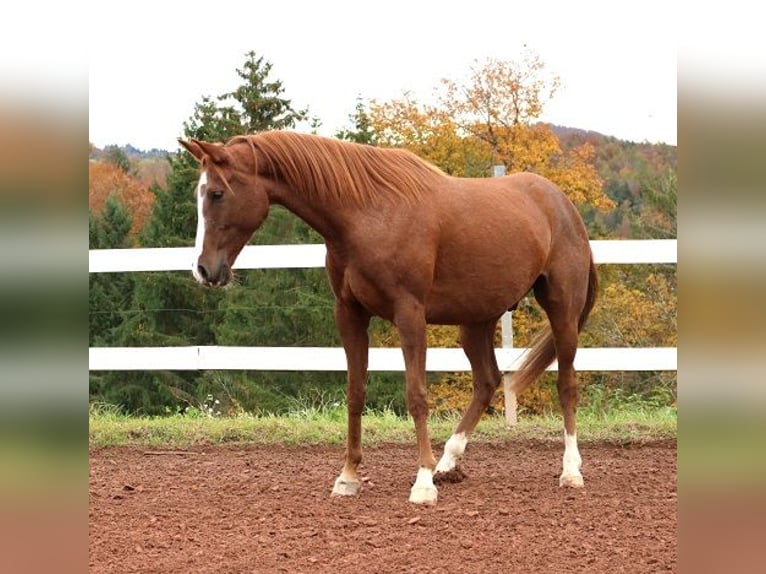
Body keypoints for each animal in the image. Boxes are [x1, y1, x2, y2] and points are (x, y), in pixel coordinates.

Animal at [179, 131, 598, 505]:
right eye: (198, 195)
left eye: (216, 193)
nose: (203, 269)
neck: (366, 213)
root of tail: (563, 205)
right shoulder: (349, 313)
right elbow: (355, 393)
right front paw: (348, 477)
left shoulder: (408, 313)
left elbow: (416, 395)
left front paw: (422, 483)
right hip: (474, 321)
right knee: (486, 381)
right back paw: (449, 462)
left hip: (562, 311)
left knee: (566, 384)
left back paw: (570, 471)